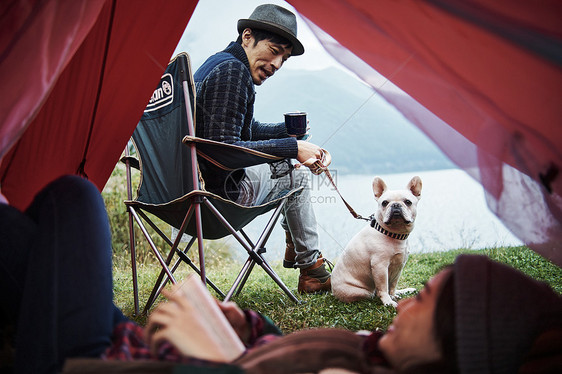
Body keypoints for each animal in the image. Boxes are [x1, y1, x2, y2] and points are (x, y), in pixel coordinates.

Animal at [328, 175, 420, 306]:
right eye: (384, 203)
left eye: (408, 202)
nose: (396, 205)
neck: (394, 234)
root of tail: (333, 290)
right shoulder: (380, 267)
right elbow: (383, 287)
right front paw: (388, 302)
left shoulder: (399, 266)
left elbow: (393, 285)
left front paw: (393, 295)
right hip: (362, 292)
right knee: (374, 293)